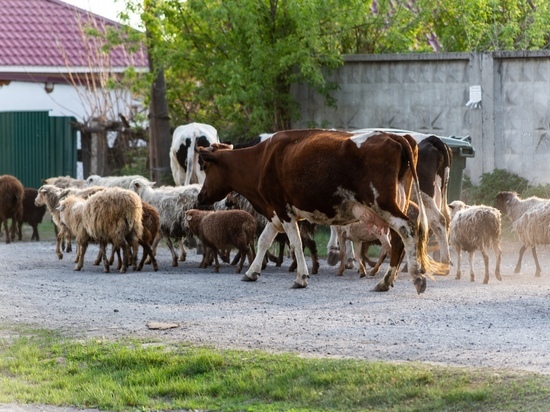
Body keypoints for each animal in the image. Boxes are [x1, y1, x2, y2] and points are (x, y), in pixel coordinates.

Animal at [197, 129, 448, 292]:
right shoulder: (275, 212)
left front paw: (301, 277)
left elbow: (296, 243)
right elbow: (264, 240)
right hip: (397, 202)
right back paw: (387, 280)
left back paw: (413, 277)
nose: (200, 196)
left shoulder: (283, 209)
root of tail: (395, 137)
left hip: (383, 204)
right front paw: (252, 272)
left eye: (206, 166)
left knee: (407, 230)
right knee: (399, 239)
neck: (262, 158)